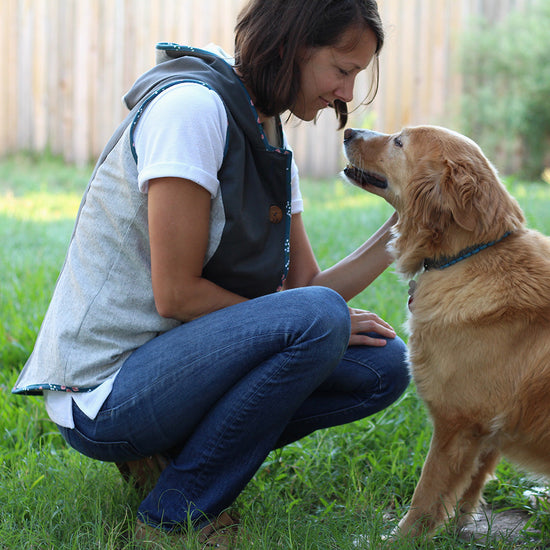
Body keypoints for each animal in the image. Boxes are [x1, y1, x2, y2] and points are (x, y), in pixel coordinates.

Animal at [342, 124, 550, 540]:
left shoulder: (457, 423)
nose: (348, 130)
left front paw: (399, 540)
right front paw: (459, 525)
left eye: (399, 142)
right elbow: (470, 482)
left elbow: (427, 492)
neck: (469, 253)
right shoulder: (484, 428)